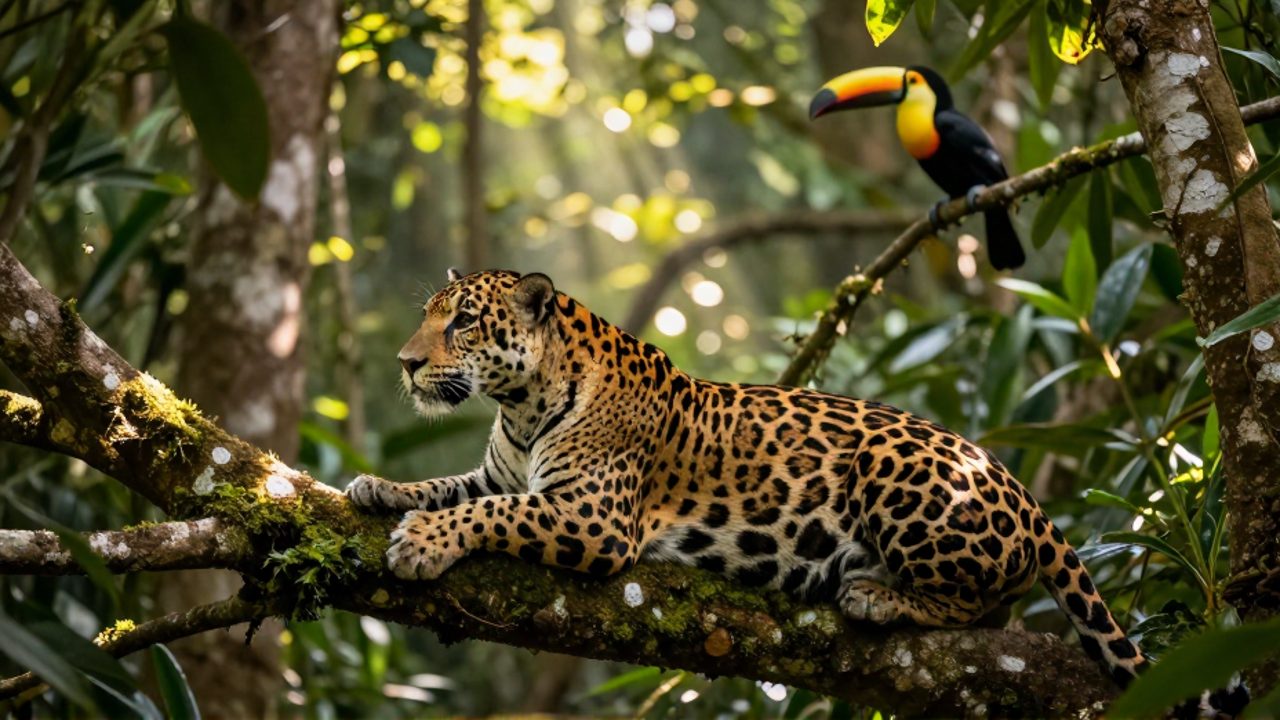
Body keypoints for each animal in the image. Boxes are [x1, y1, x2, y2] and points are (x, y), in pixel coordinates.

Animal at [346, 268, 1245, 714]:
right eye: (430, 316)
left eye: (463, 321)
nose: (404, 363)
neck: (524, 406)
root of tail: (1022, 490)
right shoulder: (503, 469)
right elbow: (452, 485)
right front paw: (378, 488)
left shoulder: (594, 519)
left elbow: (491, 510)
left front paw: (422, 542)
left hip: (894, 466)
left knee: (977, 603)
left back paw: (876, 594)